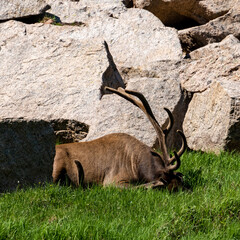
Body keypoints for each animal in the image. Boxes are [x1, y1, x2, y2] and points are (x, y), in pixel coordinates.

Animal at [52, 86, 188, 191]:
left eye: (181, 182)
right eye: (174, 188)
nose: (188, 191)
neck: (137, 166)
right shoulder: (112, 180)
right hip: (56, 165)